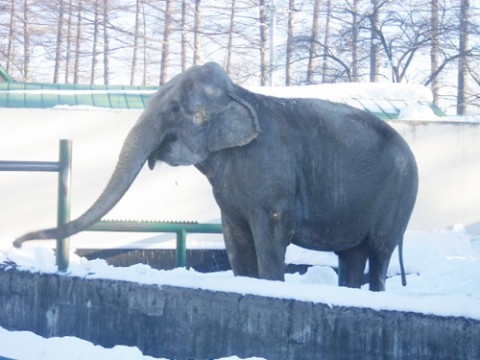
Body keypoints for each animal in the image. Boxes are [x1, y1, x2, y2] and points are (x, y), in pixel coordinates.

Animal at [15, 62, 418, 292]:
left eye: (173, 109)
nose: (17, 244)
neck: (239, 93)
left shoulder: (271, 175)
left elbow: (271, 233)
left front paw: (273, 286)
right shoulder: (232, 190)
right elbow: (235, 238)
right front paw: (248, 284)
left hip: (399, 195)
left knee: (379, 254)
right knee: (351, 256)